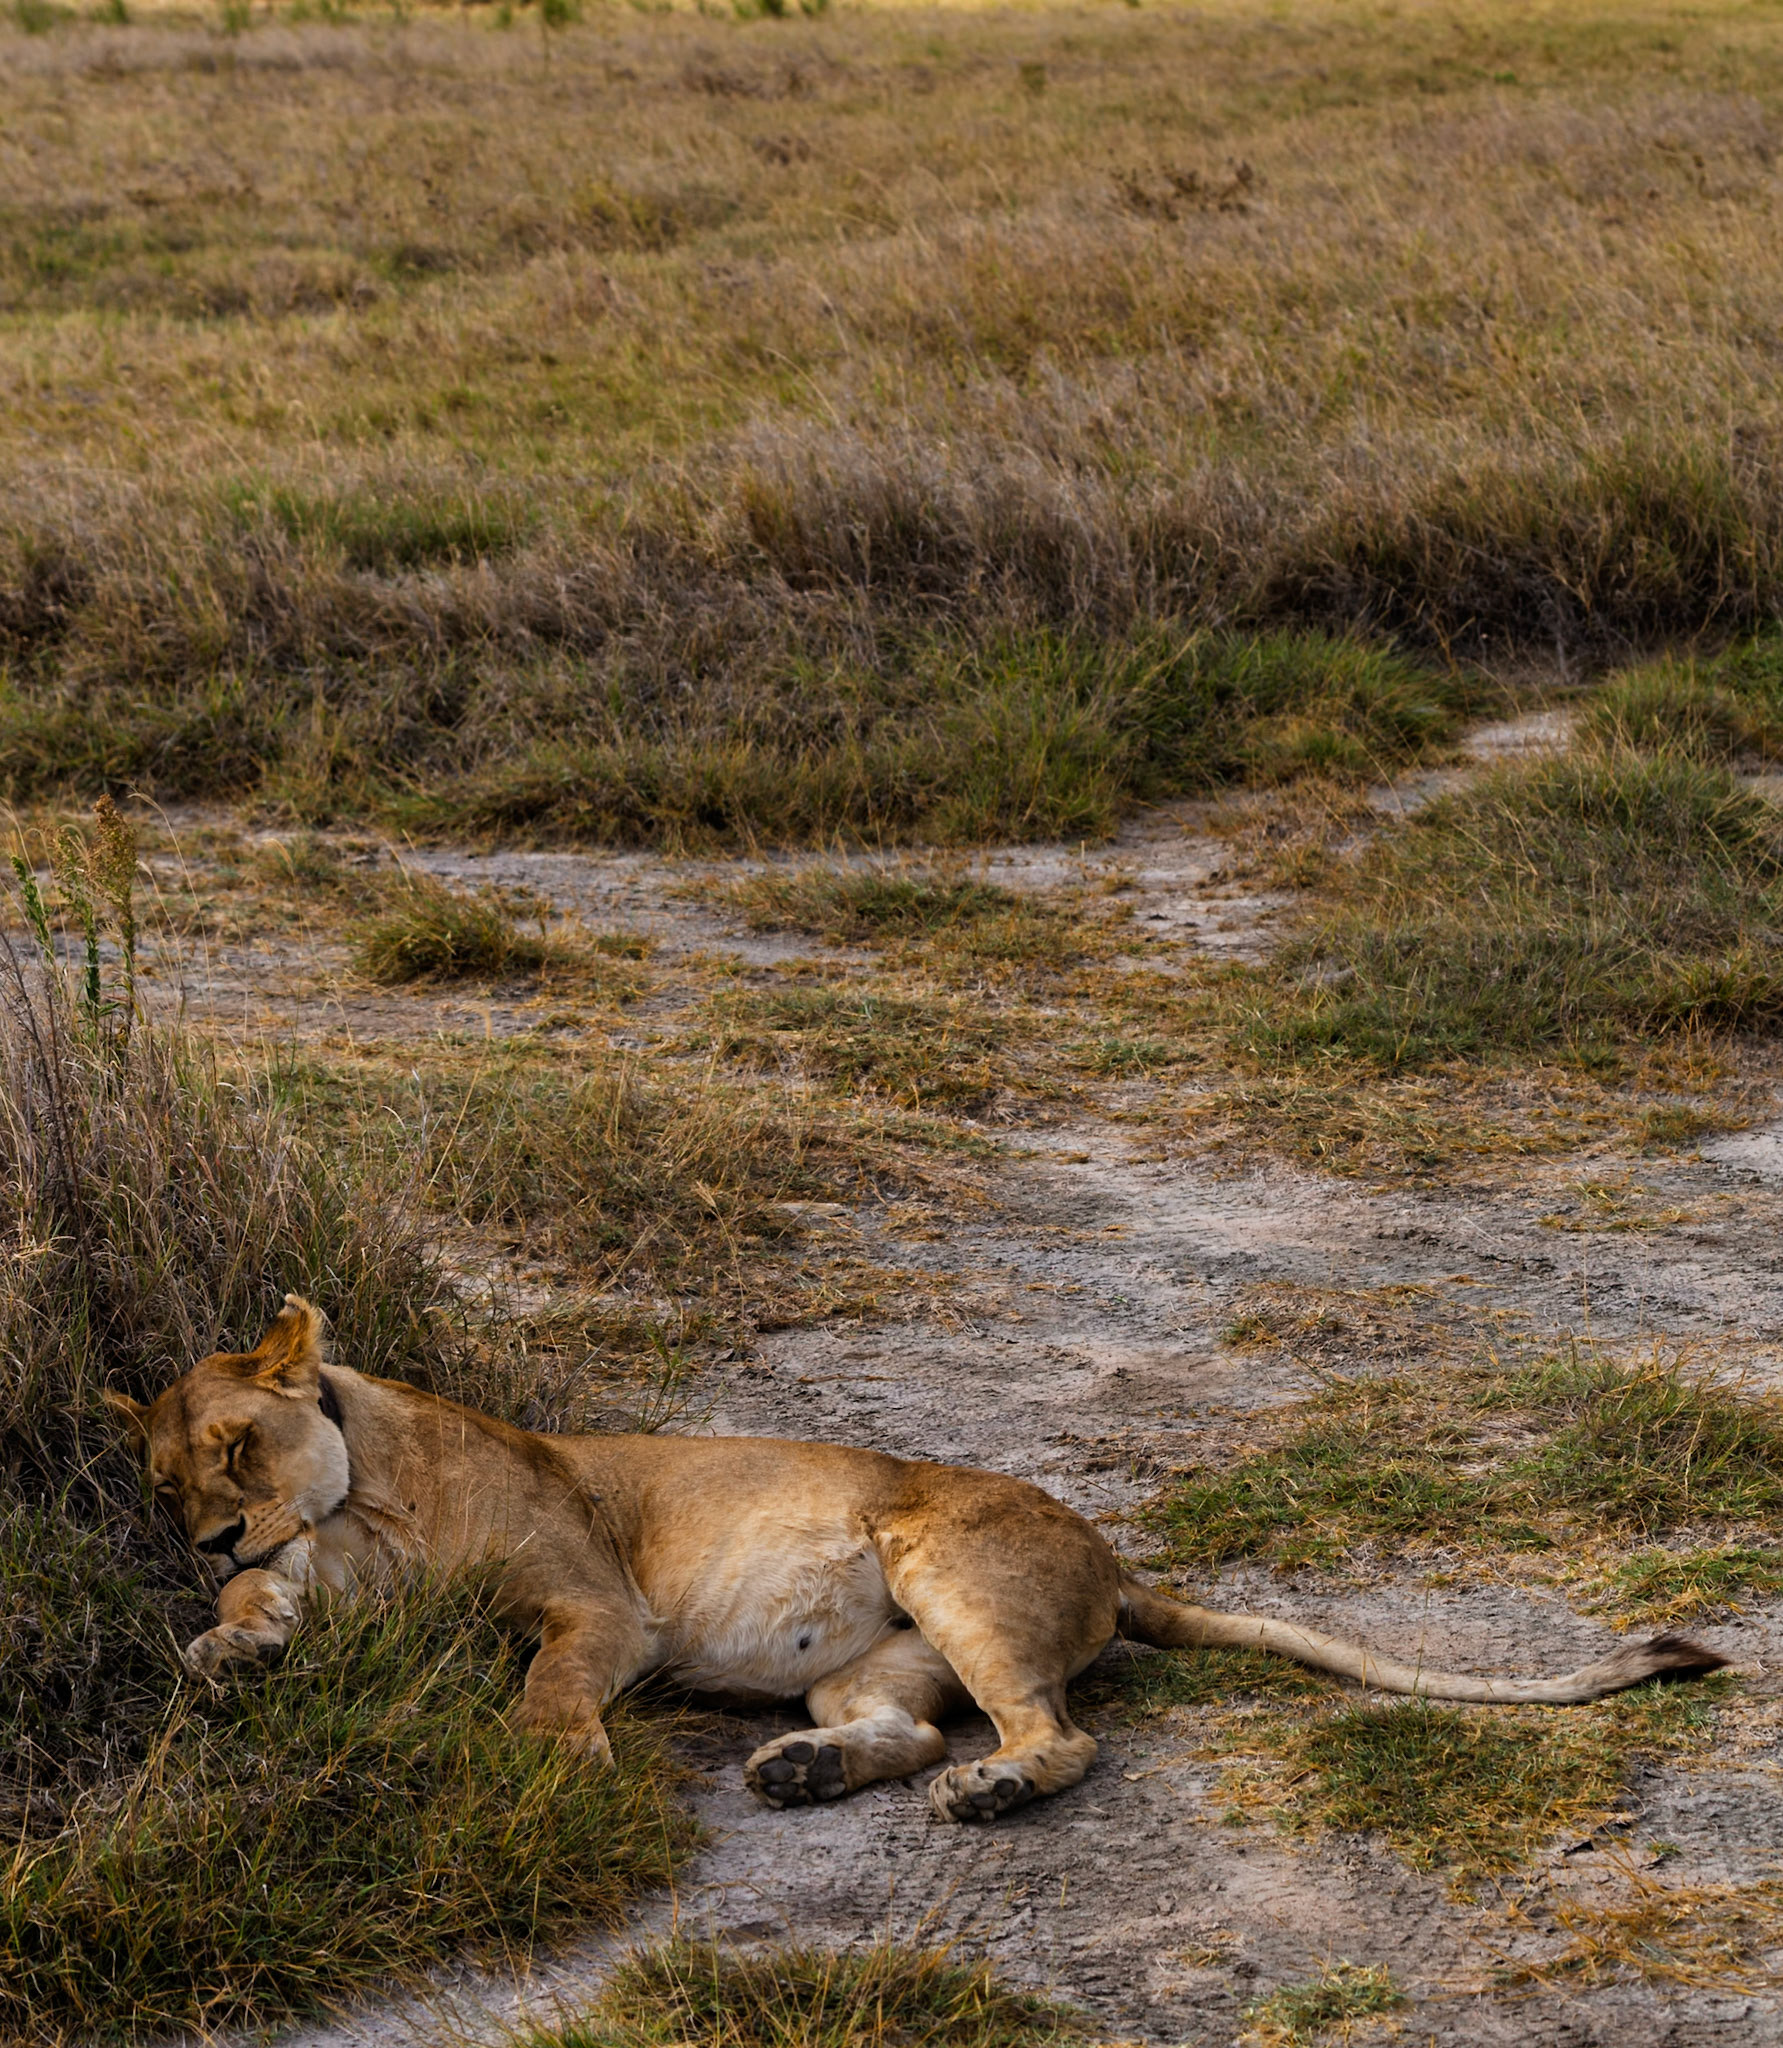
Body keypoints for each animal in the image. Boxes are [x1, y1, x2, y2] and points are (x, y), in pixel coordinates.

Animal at [106, 1297, 1726, 1823]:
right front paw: (223, 1647)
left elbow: (550, 1679)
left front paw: (557, 1762)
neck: (363, 1503)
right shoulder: (315, 1570)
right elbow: (257, 1608)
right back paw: (804, 1770)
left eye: (238, 1447)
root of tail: (1112, 1558)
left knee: (1059, 1736)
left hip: (944, 1559)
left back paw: (992, 1793)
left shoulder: (596, 1602)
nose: (210, 1527)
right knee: (907, 1728)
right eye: (166, 1481)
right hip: (872, 1666)